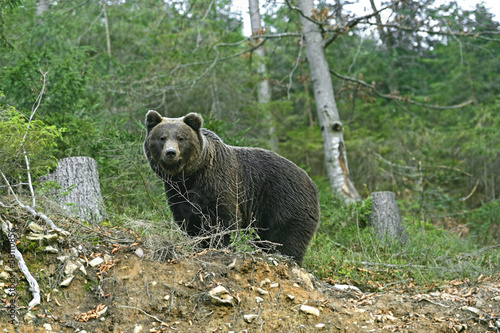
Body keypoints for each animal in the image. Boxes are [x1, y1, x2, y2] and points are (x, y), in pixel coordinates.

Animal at [143, 111, 318, 264]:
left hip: (285, 202)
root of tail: (312, 183)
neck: (190, 175)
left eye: (181, 138)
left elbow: (224, 218)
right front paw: (197, 243)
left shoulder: (218, 183)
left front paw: (219, 245)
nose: (170, 153)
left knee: (286, 239)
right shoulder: (177, 192)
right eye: (162, 137)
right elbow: (187, 220)